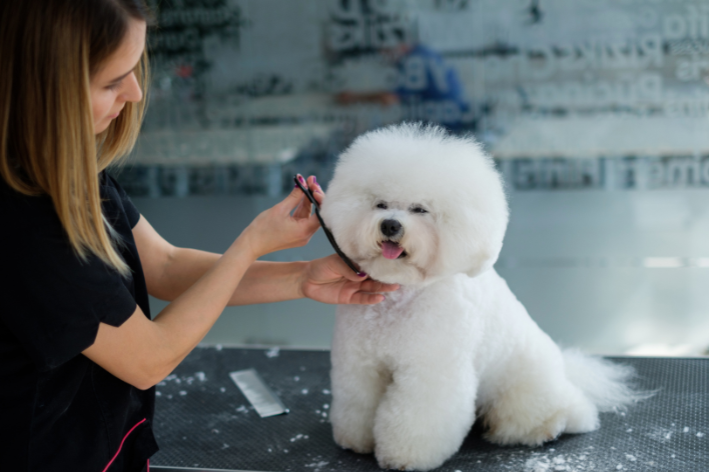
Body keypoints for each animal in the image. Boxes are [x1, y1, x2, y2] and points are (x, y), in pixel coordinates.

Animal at [320, 123, 640, 470]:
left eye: (420, 209)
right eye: (379, 204)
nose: (390, 224)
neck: (402, 295)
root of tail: (566, 373)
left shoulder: (431, 370)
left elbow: (418, 417)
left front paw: (405, 457)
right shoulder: (359, 364)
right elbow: (358, 402)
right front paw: (356, 441)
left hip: (524, 390)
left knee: (554, 412)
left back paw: (545, 426)